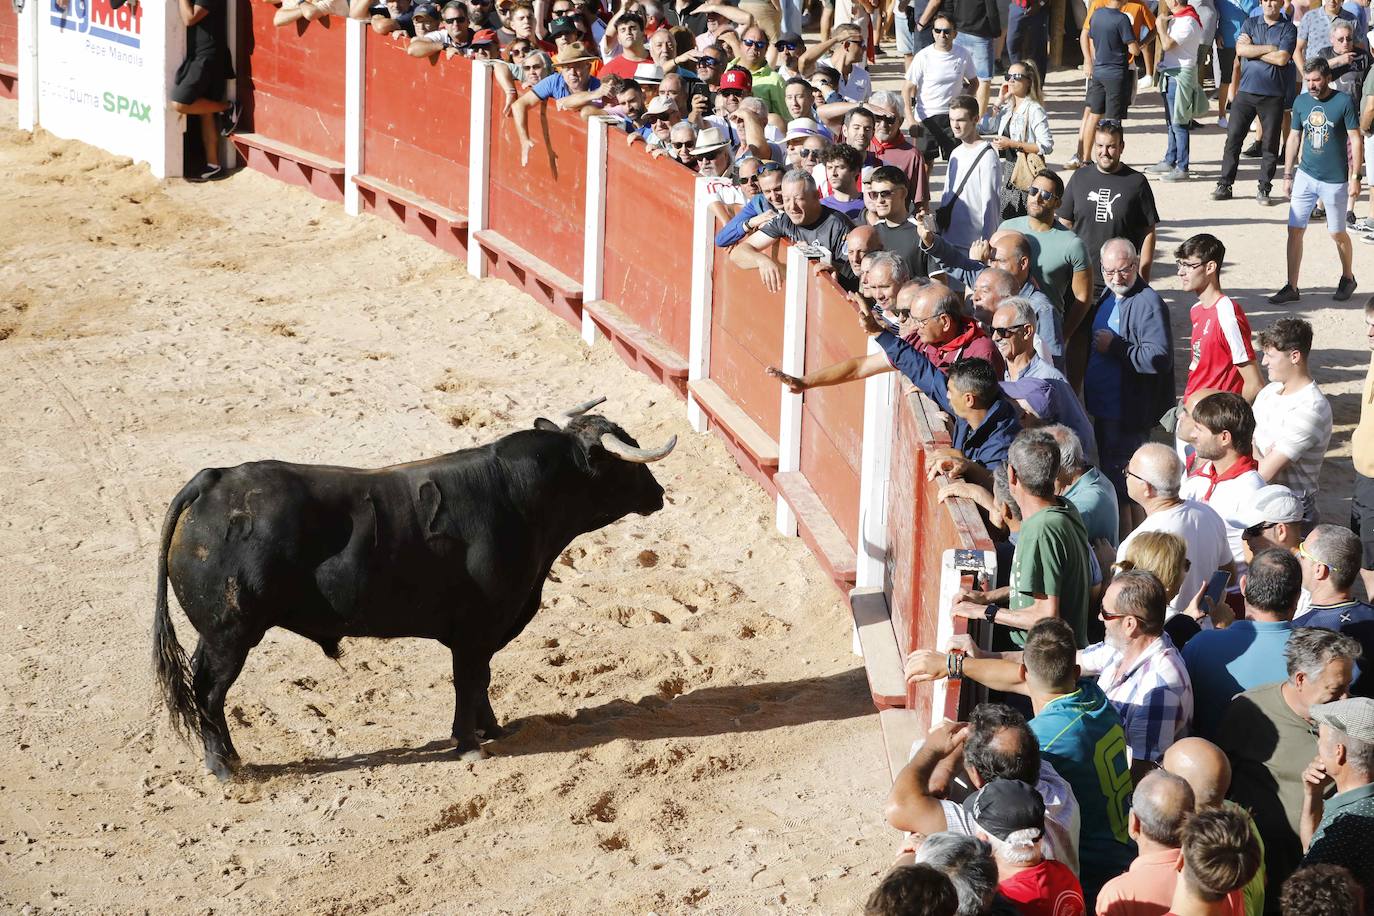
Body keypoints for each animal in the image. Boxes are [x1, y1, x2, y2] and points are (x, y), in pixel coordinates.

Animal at [155, 403, 676, 780]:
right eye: (625, 458)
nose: (659, 494)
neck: (521, 497)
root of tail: (214, 479)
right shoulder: (475, 629)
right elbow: (469, 680)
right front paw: (469, 744)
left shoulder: (484, 631)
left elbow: (482, 680)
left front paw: (494, 730)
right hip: (231, 633)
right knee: (209, 692)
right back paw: (225, 766)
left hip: (215, 634)